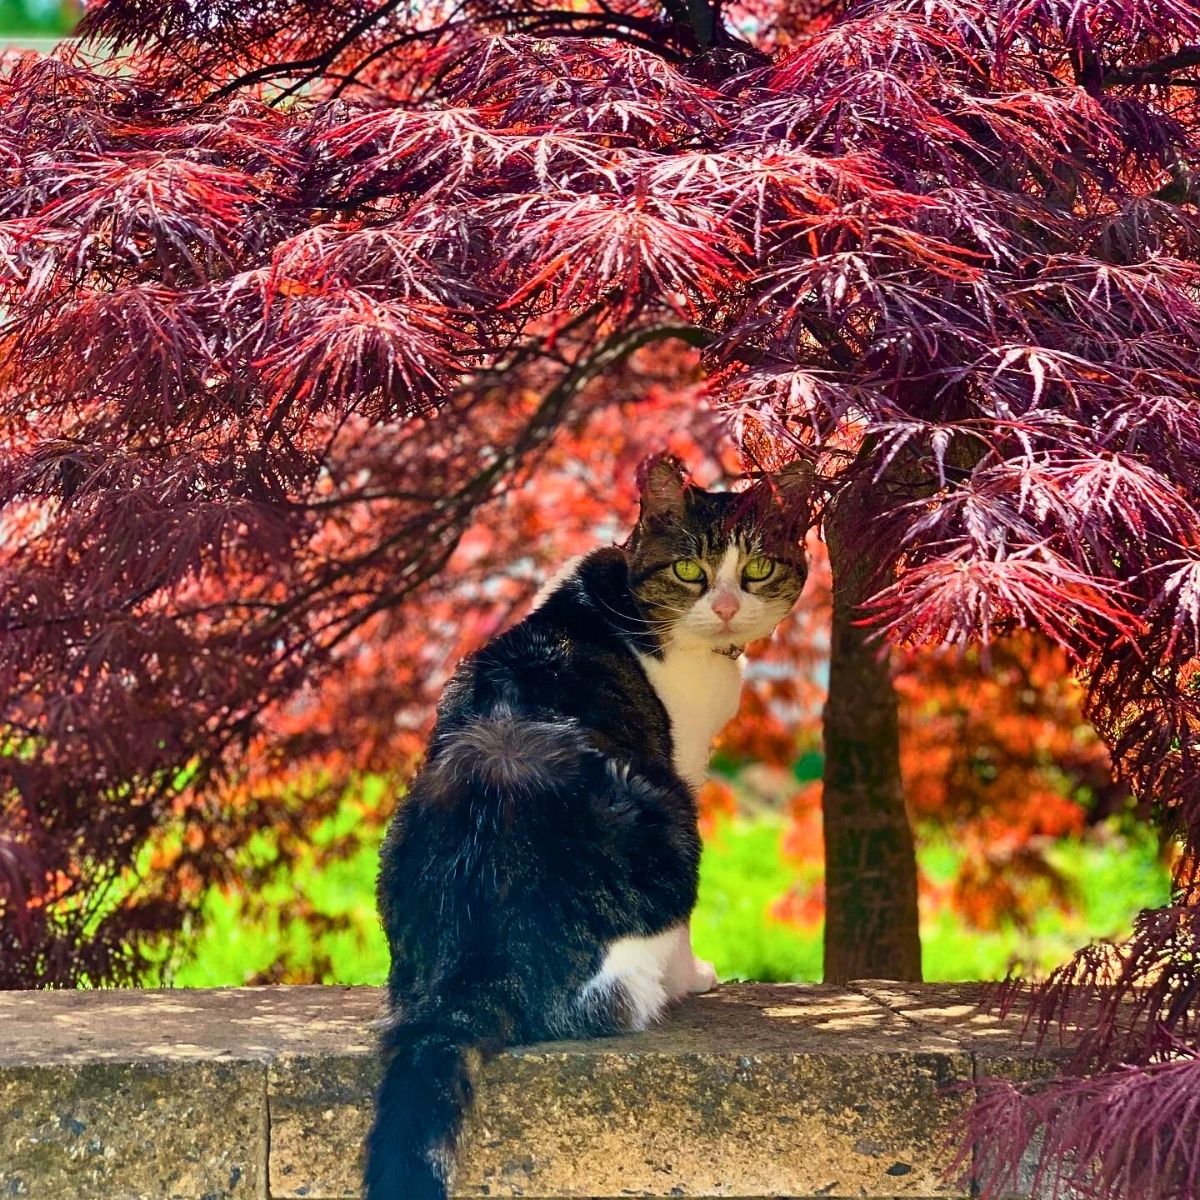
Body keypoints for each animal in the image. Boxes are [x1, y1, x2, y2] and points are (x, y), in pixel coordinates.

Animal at [364, 451, 811, 1200]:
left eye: (755, 570)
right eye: (690, 570)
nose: (724, 608)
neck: (628, 598)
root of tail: (469, 978)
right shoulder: (685, 762)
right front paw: (698, 973)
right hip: (664, 819)